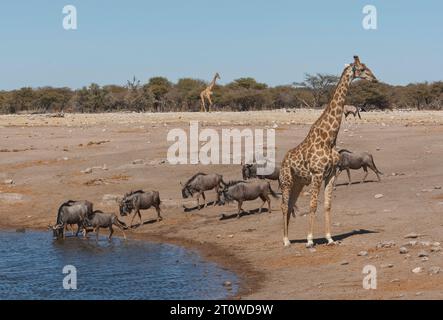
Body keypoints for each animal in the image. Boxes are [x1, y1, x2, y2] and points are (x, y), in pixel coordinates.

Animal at [280, 56, 378, 249]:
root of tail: (282, 162)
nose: (375, 79)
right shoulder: (317, 174)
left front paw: (329, 238)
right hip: (286, 181)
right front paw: (310, 240)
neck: (329, 138)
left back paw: (290, 238)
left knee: (291, 205)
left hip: (298, 182)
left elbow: (327, 205)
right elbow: (312, 205)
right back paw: (285, 240)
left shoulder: (331, 174)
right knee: (284, 206)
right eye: (362, 69)